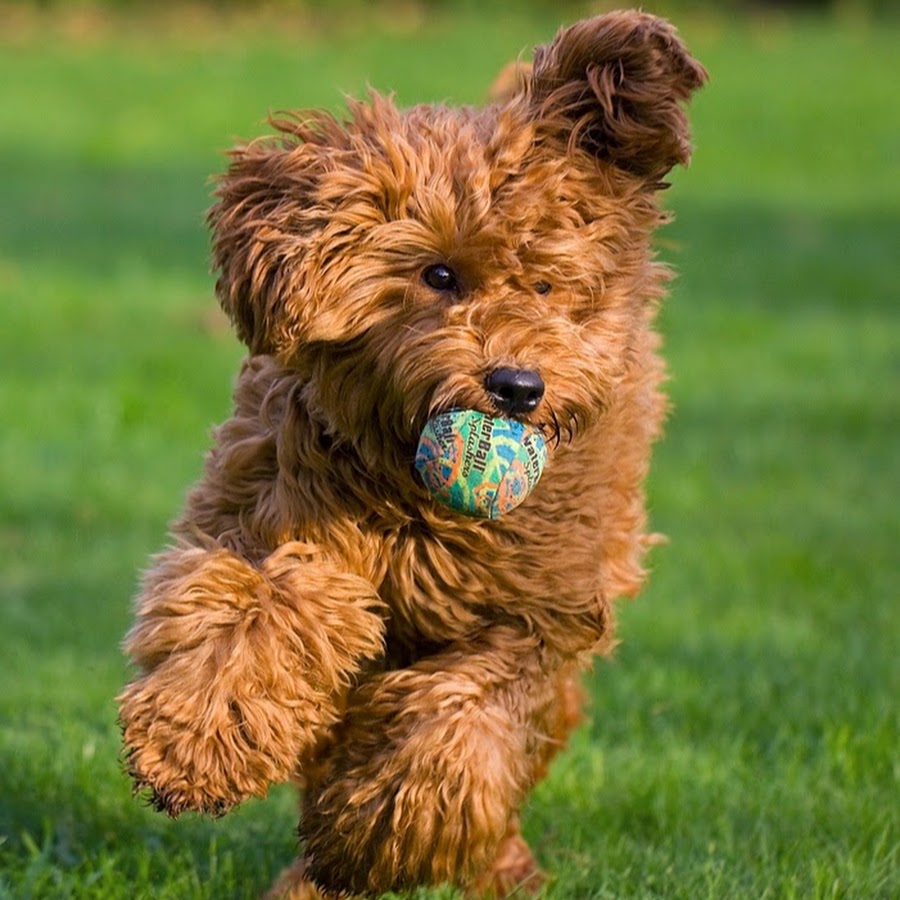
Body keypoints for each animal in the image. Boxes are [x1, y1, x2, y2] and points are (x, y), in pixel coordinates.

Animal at [118, 10, 704, 896]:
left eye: (545, 286)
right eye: (438, 274)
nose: (517, 387)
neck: (418, 506)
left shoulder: (536, 618)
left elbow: (462, 722)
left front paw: (375, 833)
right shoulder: (272, 517)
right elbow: (255, 612)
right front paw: (192, 747)